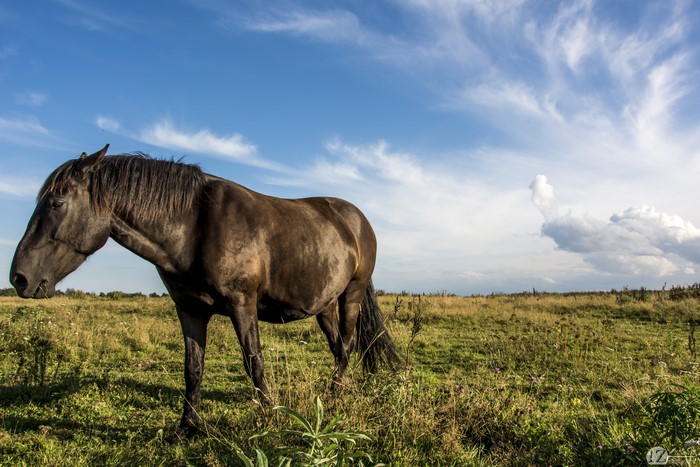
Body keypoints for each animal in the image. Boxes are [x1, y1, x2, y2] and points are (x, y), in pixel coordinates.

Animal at [9, 144, 402, 442]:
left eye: (56, 203)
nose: (19, 279)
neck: (193, 226)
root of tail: (357, 220)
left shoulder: (242, 304)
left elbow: (254, 361)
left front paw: (271, 415)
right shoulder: (189, 309)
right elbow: (193, 369)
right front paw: (186, 429)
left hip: (351, 294)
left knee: (347, 345)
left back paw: (334, 397)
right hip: (323, 305)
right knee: (338, 348)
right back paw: (340, 391)